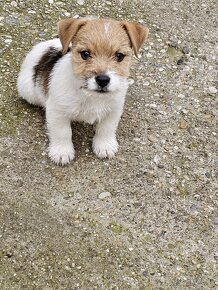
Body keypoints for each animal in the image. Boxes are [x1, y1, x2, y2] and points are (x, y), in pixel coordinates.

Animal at [17, 18, 149, 165]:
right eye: (85, 54)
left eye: (119, 56)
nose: (103, 80)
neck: (90, 95)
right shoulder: (58, 112)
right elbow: (62, 132)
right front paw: (62, 151)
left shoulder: (114, 109)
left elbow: (107, 128)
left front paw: (105, 145)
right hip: (28, 91)